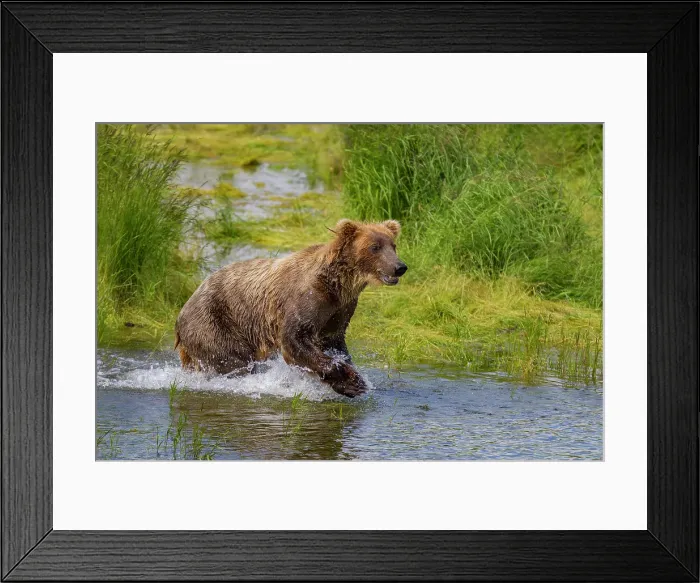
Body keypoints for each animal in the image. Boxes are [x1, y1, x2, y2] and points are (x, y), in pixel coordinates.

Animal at [174, 219, 407, 397]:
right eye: (374, 247)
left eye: (393, 245)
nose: (400, 267)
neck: (337, 284)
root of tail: (181, 313)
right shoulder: (307, 299)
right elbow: (294, 338)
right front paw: (348, 379)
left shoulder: (340, 309)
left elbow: (333, 340)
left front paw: (353, 377)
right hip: (214, 322)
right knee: (232, 361)